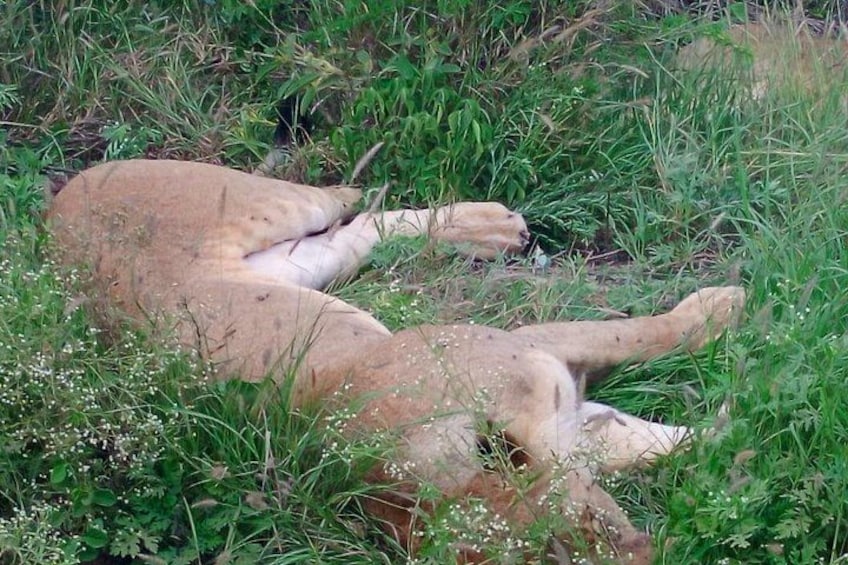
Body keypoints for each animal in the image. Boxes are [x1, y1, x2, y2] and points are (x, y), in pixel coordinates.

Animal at [48, 159, 744, 563]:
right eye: (569, 550)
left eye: (595, 525)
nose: (653, 554)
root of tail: (48, 225)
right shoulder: (560, 402)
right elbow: (663, 440)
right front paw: (735, 436)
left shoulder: (526, 344)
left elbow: (642, 336)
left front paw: (725, 310)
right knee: (361, 230)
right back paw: (490, 232)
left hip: (274, 203)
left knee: (349, 200)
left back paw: (493, 227)